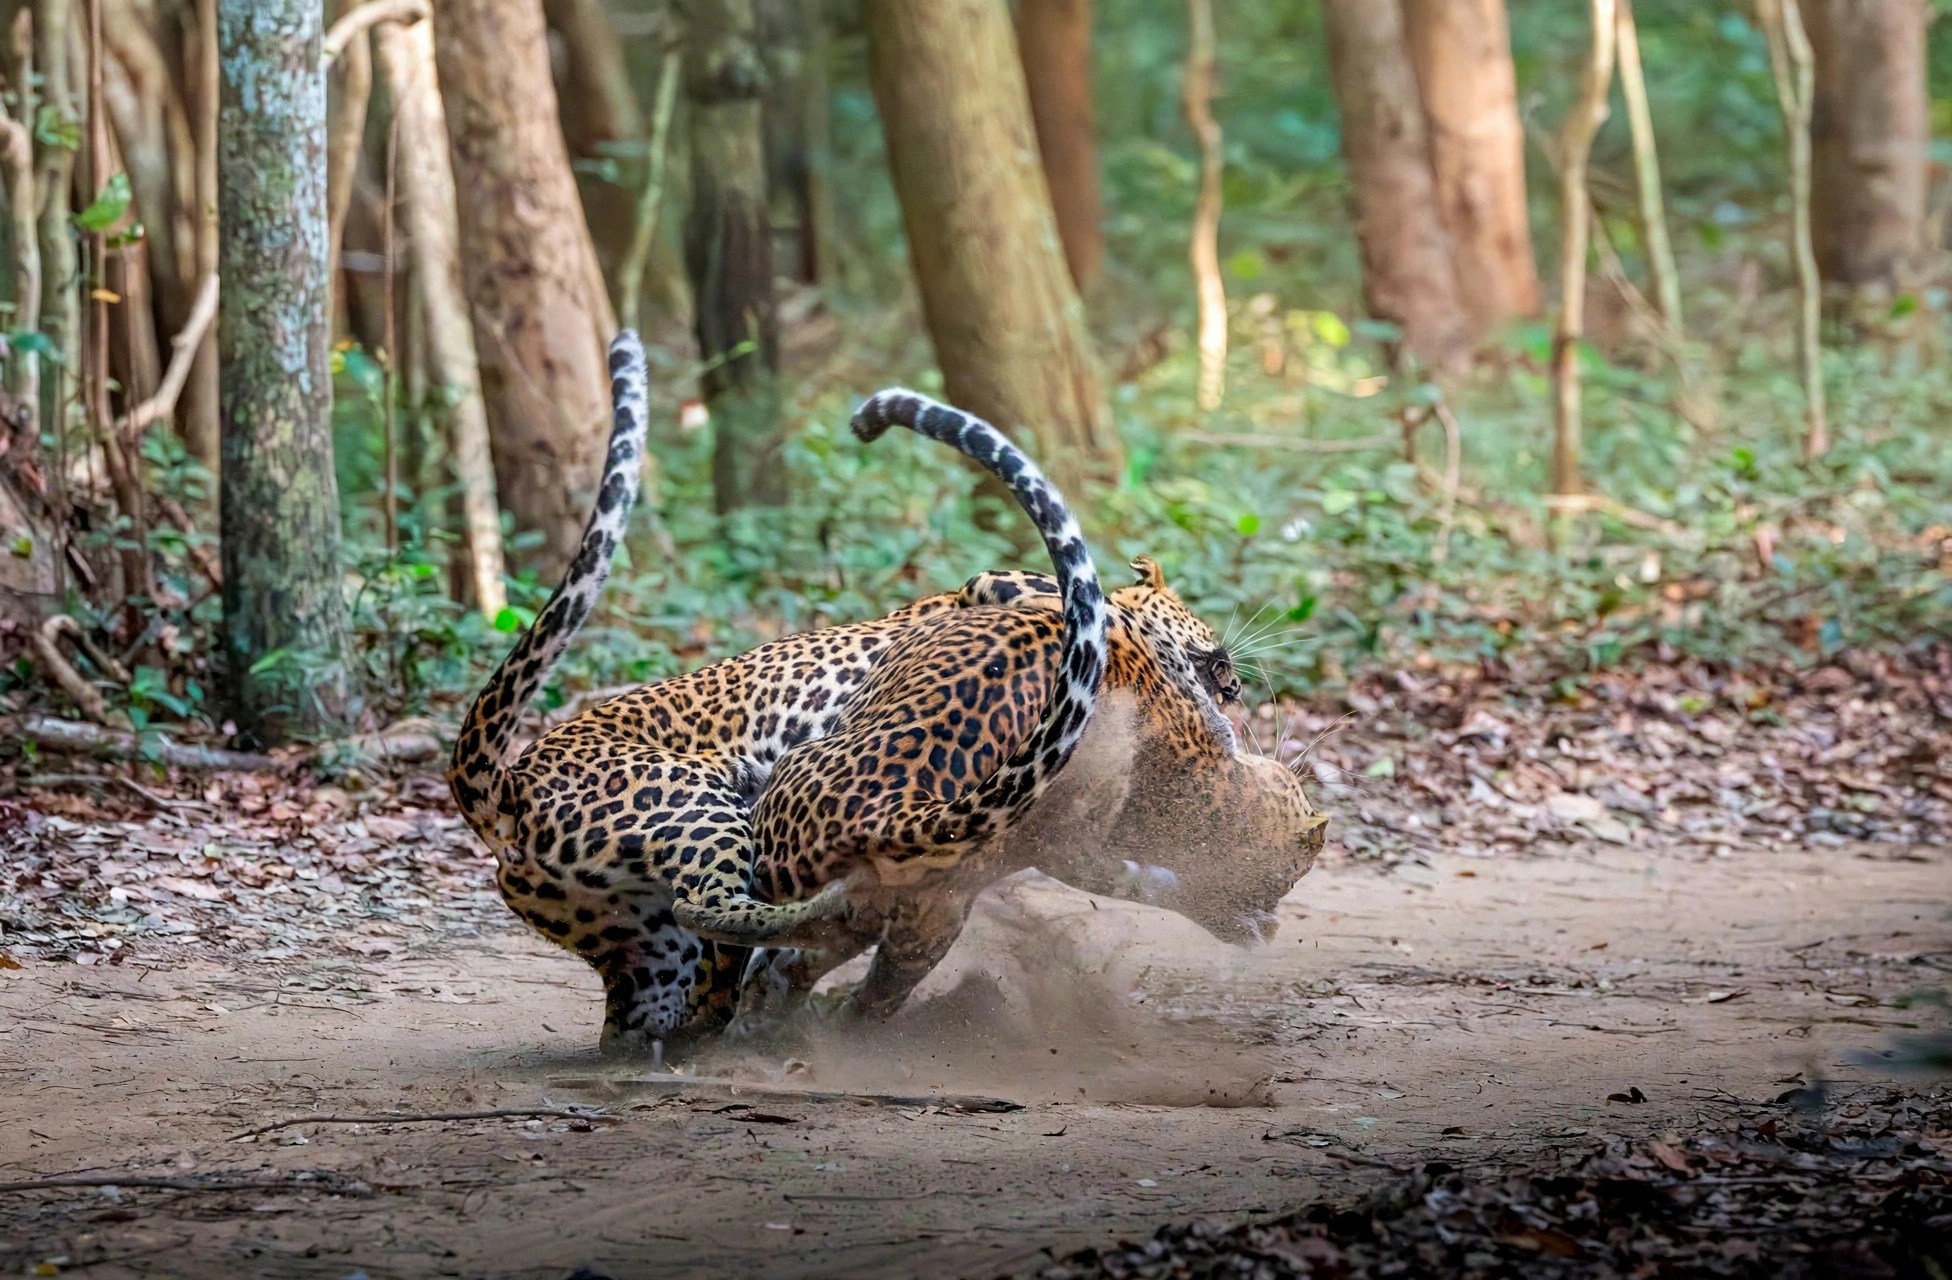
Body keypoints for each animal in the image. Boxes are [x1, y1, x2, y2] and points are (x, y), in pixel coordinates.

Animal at [447, 335, 1114, 1055]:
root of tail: (509, 785)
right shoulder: (1004, 589)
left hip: (635, 934)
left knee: (684, 973)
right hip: (696, 808)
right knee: (718, 908)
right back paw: (819, 926)